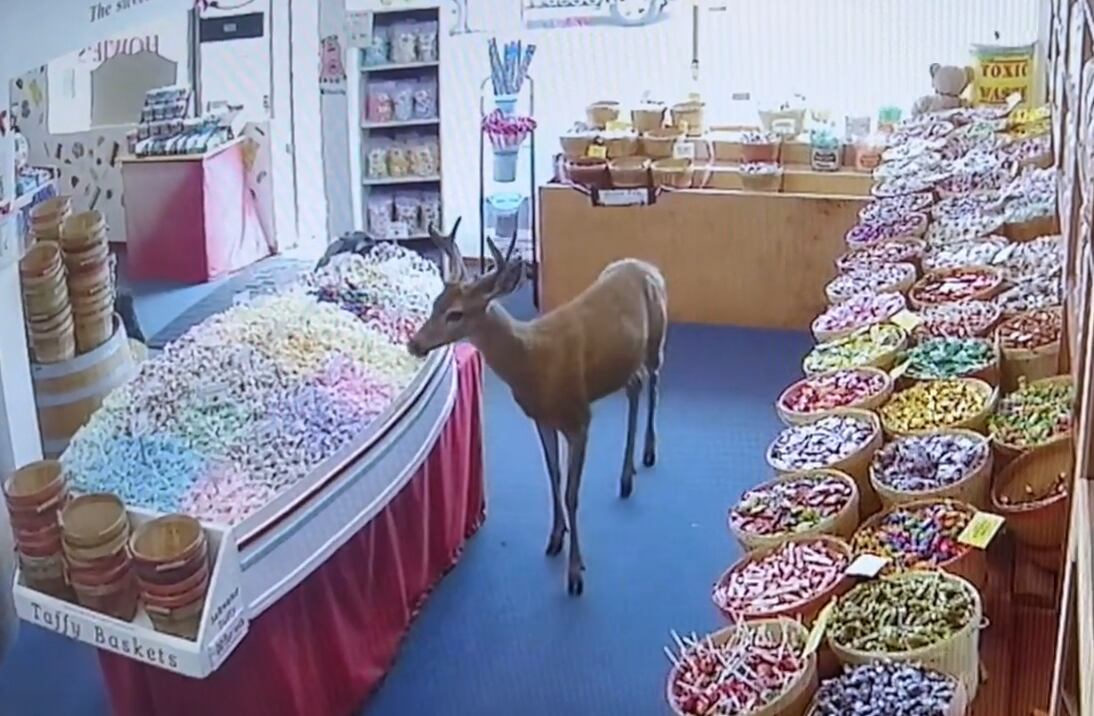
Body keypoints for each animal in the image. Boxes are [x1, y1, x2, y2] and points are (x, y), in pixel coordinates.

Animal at [409, 221, 665, 595]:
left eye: (456, 313)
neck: (534, 362)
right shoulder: (542, 420)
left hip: (657, 339)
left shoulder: (579, 419)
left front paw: (575, 574)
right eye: (434, 303)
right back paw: (626, 476)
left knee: (655, 382)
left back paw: (648, 454)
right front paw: (555, 538)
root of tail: (647, 265)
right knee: (636, 385)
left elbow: (572, 493)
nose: (414, 343)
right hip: (625, 362)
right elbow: (553, 475)